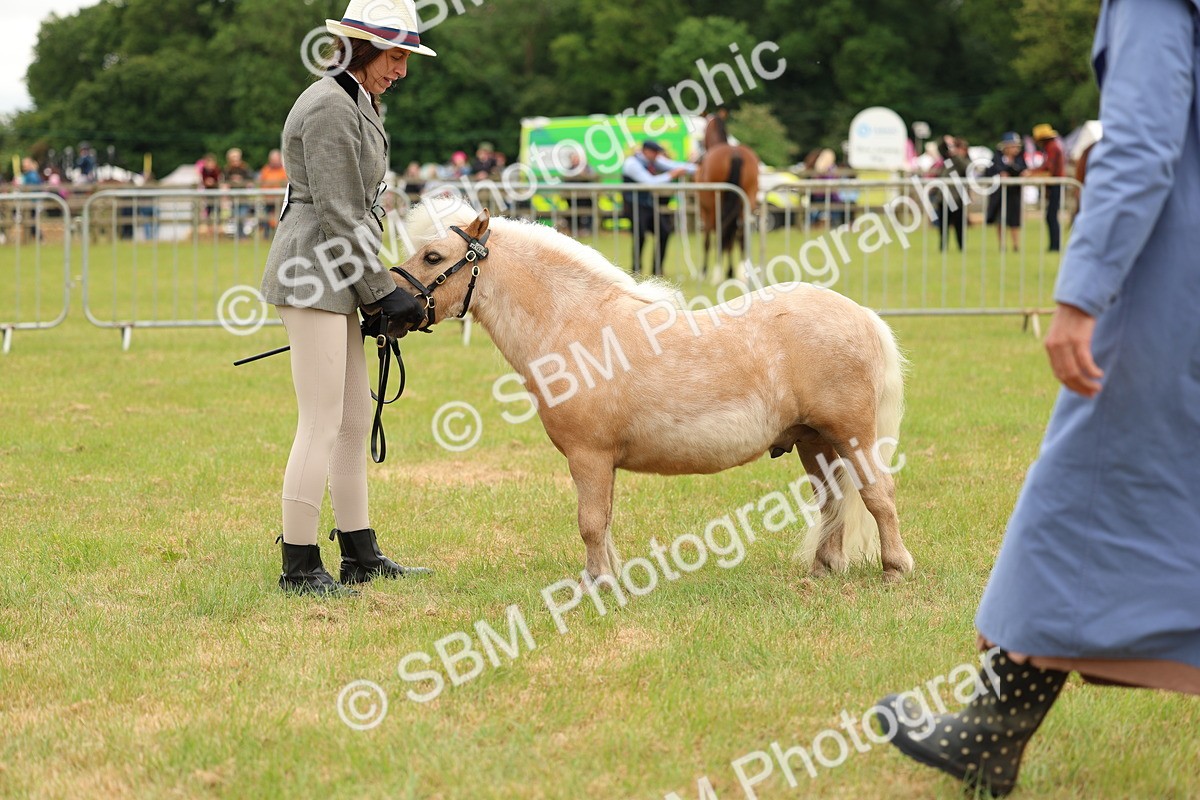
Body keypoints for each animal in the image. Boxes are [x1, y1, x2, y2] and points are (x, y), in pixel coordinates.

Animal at [384, 202, 914, 583]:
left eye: (433, 257)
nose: (387, 309)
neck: (576, 327)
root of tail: (861, 315)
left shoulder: (589, 456)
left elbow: (590, 522)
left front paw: (596, 583)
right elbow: (602, 521)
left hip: (852, 435)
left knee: (878, 494)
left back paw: (894, 568)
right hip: (814, 441)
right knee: (832, 502)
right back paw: (824, 569)